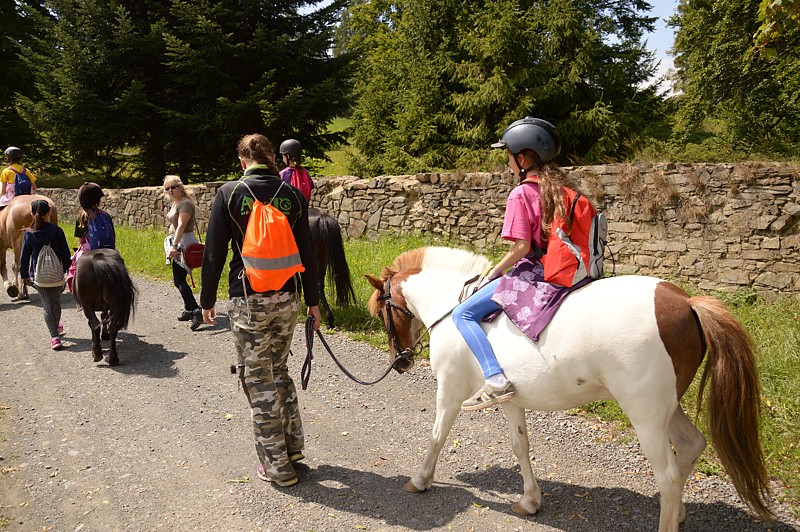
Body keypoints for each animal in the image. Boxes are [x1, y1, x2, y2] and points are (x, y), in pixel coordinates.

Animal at [368, 247, 776, 532]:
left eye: (381, 312)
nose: (400, 362)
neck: (455, 309)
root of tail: (685, 302)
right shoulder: (510, 399)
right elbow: (520, 446)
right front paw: (530, 502)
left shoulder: (450, 391)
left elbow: (436, 436)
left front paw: (420, 480)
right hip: (666, 407)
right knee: (692, 446)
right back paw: (678, 515)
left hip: (645, 414)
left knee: (670, 477)